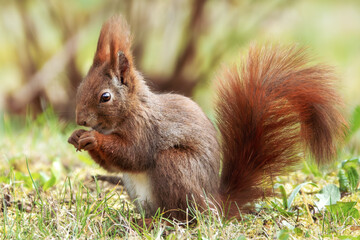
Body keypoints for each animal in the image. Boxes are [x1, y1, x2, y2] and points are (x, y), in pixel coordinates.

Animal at [67, 15, 346, 221]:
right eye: (80, 86)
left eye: (105, 97)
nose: (80, 119)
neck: (131, 110)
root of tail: (216, 203)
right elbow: (116, 165)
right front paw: (76, 136)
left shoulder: (145, 129)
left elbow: (134, 154)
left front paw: (92, 138)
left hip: (175, 165)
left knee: (183, 216)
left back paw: (156, 222)